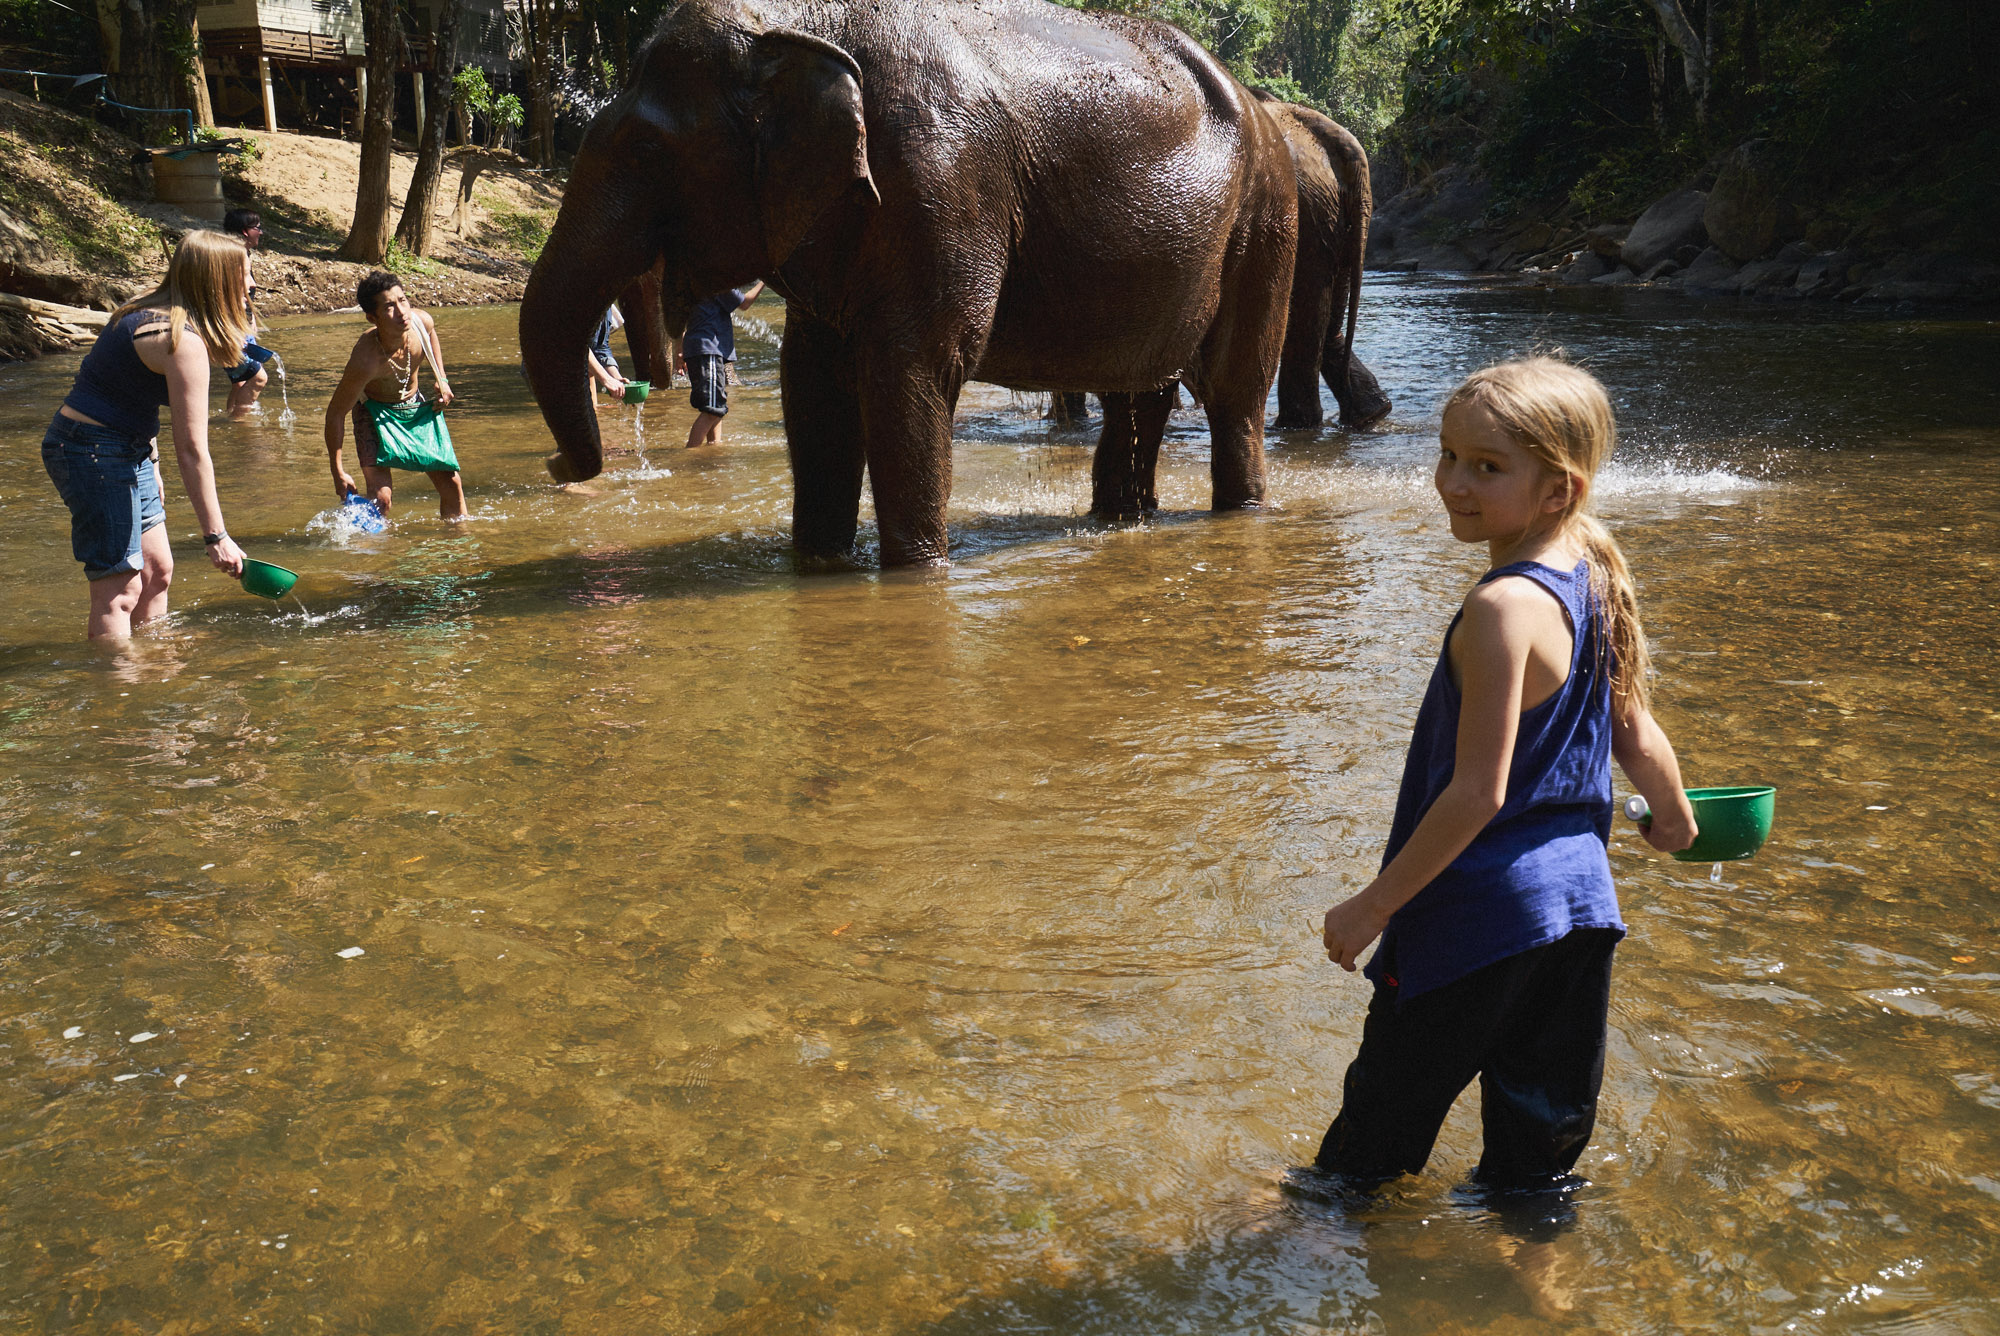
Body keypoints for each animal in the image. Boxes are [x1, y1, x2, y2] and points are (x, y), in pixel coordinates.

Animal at [520, 0, 1296, 568]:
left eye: (647, 153)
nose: (559, 464)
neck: (799, 25)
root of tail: (1264, 109)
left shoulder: (944, 184)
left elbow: (910, 368)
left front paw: (915, 570)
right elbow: (813, 380)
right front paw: (820, 566)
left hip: (1264, 221)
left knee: (1233, 394)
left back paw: (1240, 509)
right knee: (1140, 392)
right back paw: (1119, 518)